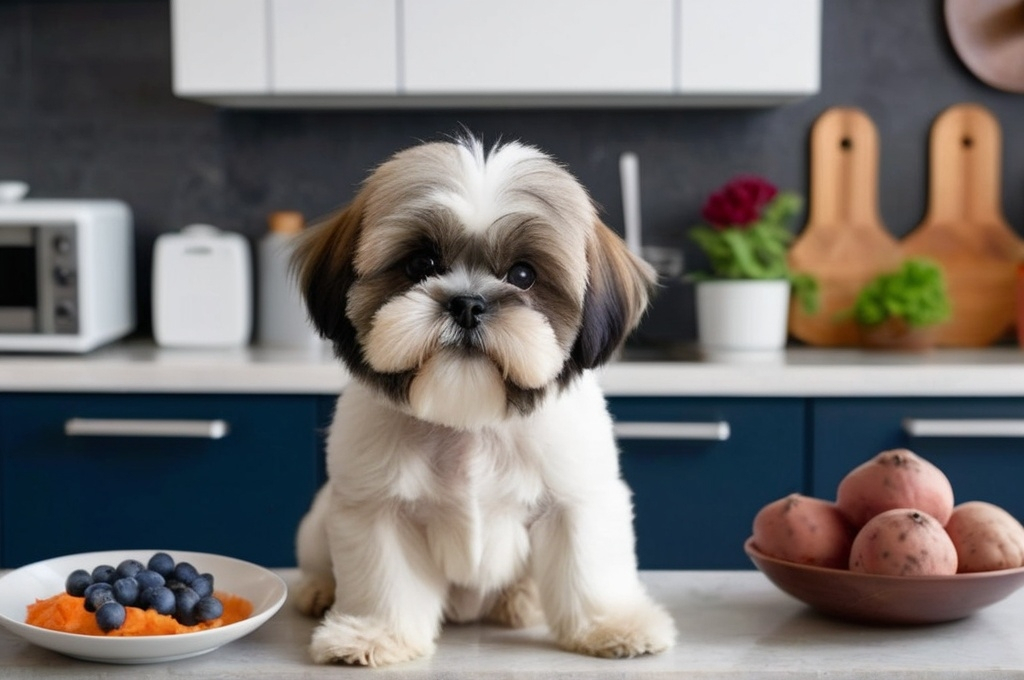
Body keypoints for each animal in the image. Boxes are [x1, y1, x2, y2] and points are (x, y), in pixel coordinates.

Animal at [292, 135, 675, 667]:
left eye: (523, 274)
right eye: (421, 264)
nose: (468, 303)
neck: (469, 425)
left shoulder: (577, 499)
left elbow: (588, 567)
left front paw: (611, 625)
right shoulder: (376, 507)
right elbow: (385, 578)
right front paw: (375, 634)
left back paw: (521, 601)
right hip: (316, 523)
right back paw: (318, 590)